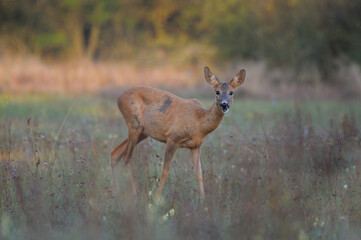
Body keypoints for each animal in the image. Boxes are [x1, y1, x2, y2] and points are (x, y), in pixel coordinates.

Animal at [109, 65, 245, 199]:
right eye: (217, 92)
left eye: (231, 92)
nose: (224, 105)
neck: (199, 121)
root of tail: (118, 98)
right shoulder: (172, 138)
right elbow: (165, 170)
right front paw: (157, 198)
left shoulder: (195, 146)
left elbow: (199, 173)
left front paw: (203, 199)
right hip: (134, 124)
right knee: (126, 157)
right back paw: (134, 194)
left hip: (143, 132)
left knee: (115, 152)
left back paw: (116, 192)